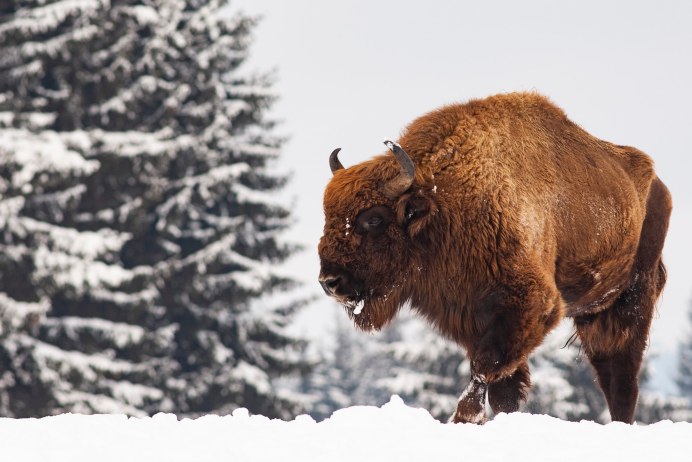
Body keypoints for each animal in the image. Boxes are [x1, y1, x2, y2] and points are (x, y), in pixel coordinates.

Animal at [318, 92, 672, 424]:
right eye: (328, 215)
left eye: (374, 219)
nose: (329, 281)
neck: (444, 200)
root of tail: (658, 185)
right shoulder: (474, 313)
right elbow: (505, 387)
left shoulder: (529, 305)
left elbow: (485, 366)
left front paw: (464, 417)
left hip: (630, 301)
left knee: (621, 378)